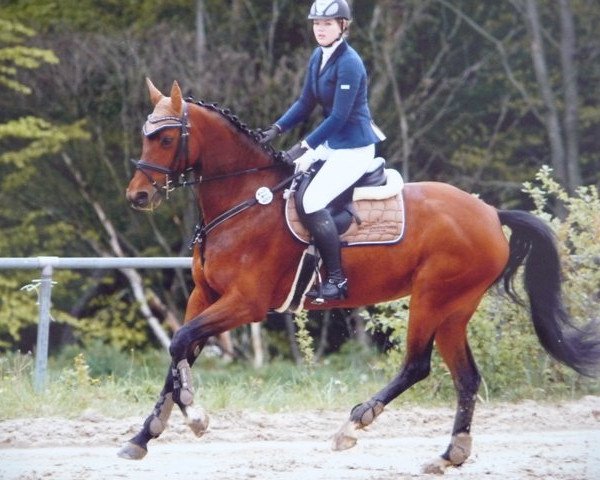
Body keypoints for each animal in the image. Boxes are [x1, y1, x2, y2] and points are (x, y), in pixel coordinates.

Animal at [118, 79, 600, 472]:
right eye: (144, 136)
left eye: (165, 138)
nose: (137, 196)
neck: (244, 200)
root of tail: (489, 213)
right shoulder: (203, 296)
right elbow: (177, 352)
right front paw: (143, 437)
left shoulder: (244, 304)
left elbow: (180, 344)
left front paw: (195, 415)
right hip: (454, 310)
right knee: (466, 378)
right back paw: (450, 454)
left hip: (432, 299)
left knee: (417, 365)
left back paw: (353, 426)